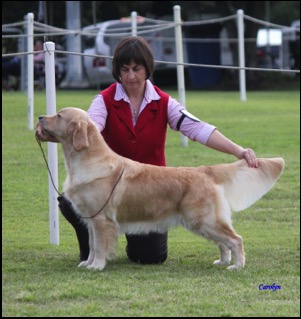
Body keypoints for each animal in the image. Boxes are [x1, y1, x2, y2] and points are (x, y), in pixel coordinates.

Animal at [35, 108, 284, 272]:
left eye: (59, 116)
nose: (39, 117)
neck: (87, 160)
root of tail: (204, 170)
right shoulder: (91, 220)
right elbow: (92, 244)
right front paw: (87, 262)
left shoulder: (101, 219)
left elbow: (98, 246)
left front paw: (96, 266)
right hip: (202, 223)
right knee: (224, 243)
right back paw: (223, 261)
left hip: (203, 220)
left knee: (236, 239)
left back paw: (237, 265)